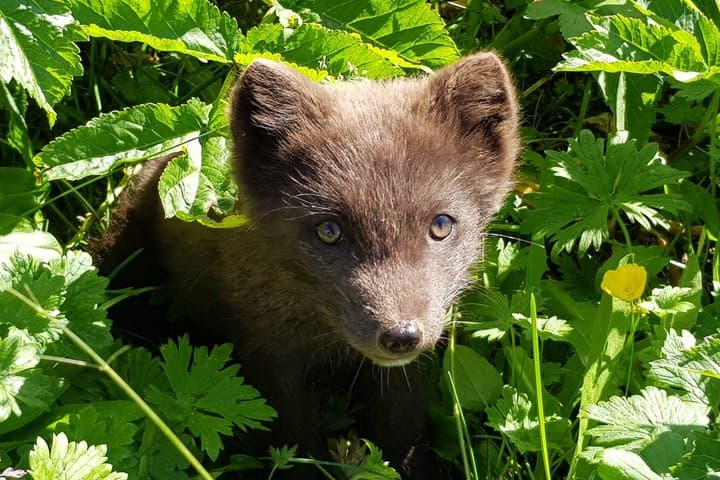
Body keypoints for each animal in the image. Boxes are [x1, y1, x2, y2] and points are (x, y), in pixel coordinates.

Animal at [93, 52, 520, 478]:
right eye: (329, 231)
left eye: (441, 225)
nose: (401, 335)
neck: (322, 330)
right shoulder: (265, 349)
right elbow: (289, 438)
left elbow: (401, 418)